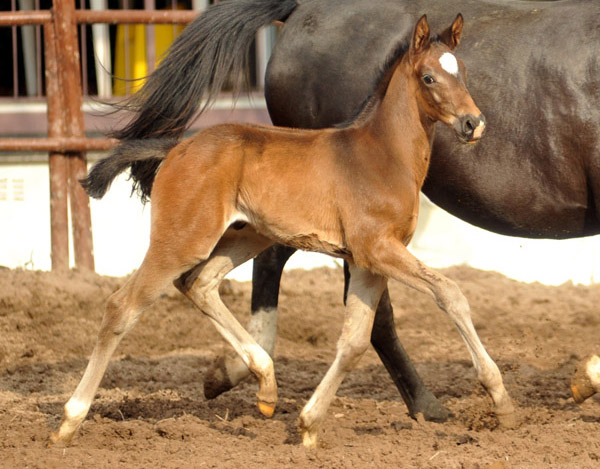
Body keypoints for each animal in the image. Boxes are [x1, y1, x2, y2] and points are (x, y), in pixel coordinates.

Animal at [50, 14, 516, 446]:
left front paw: (309, 426)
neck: (382, 155)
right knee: (123, 305)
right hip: (182, 239)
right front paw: (501, 401)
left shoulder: (368, 262)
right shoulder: (378, 249)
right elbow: (450, 293)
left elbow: (354, 342)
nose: (473, 123)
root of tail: (178, 146)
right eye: (429, 77)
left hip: (247, 235)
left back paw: (267, 388)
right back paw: (70, 421)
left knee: (199, 283)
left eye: (463, 72)